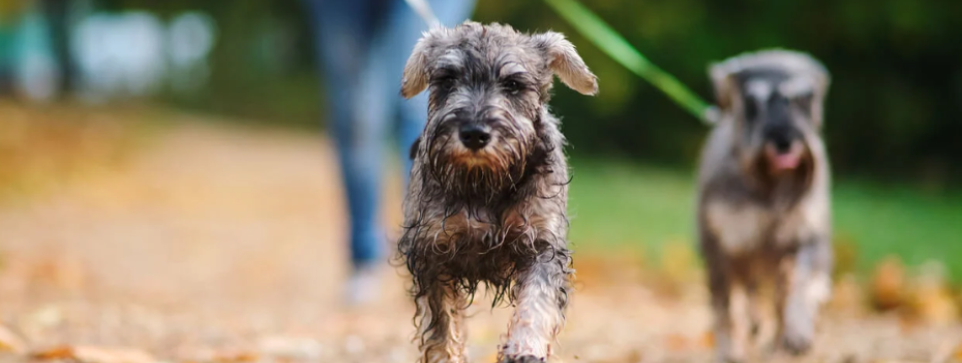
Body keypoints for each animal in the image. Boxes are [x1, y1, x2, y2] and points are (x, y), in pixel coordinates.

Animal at [396, 21, 592, 362]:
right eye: (447, 80)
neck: (486, 180)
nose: (474, 134)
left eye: (513, 84)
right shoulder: (432, 253)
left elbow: (537, 300)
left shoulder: (542, 245)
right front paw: (445, 356)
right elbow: (441, 323)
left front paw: (525, 346)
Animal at [692, 49, 828, 362]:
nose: (784, 140)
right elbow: (728, 306)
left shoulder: (807, 237)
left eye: (804, 98)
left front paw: (797, 332)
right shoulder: (724, 246)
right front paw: (731, 350)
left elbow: (801, 285)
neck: (770, 187)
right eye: (754, 102)